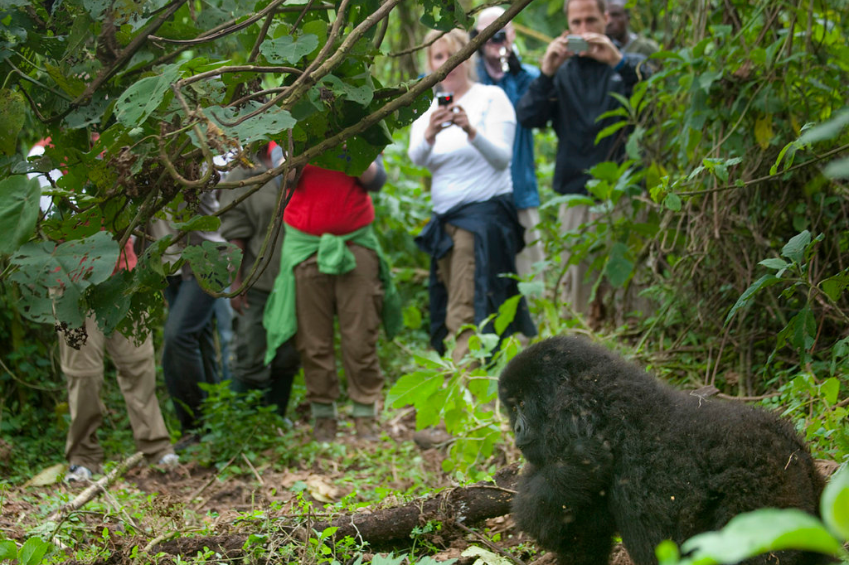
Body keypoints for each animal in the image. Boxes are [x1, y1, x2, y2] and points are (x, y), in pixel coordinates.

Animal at [496, 334, 828, 564]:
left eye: (522, 404)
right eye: (512, 408)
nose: (517, 429)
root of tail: (796, 453)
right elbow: (566, 527)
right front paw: (578, 465)